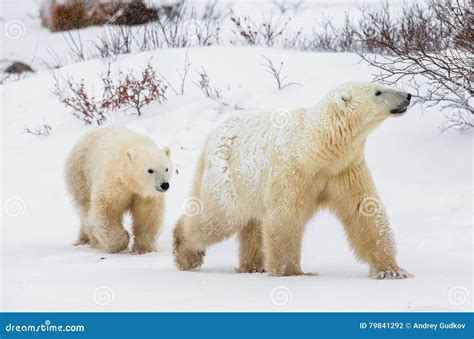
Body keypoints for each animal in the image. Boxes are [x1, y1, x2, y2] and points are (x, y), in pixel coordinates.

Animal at [173, 82, 412, 278]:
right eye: (378, 91)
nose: (408, 96)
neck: (317, 147)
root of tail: (211, 135)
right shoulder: (294, 170)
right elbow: (285, 215)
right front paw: (292, 272)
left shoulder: (345, 169)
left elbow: (363, 210)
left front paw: (392, 271)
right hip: (228, 175)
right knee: (220, 217)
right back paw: (184, 251)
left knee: (251, 222)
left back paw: (252, 266)